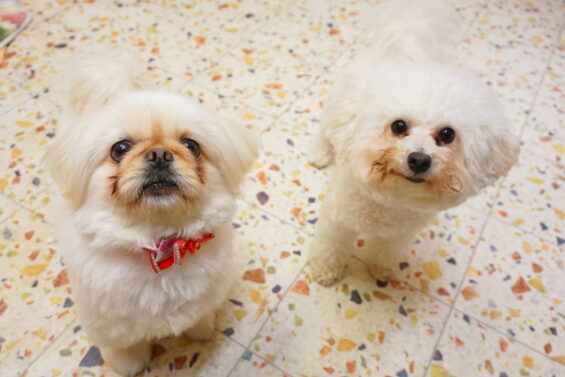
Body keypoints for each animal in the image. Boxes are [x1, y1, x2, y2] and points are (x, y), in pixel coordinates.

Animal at [46, 51, 258, 374]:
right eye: (120, 149)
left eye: (191, 145)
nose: (159, 154)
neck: (160, 243)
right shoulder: (110, 324)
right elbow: (126, 349)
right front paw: (130, 367)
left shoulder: (203, 296)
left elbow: (197, 317)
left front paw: (201, 332)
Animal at [308, 0, 520, 284]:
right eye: (398, 126)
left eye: (447, 134)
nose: (419, 159)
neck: (393, 201)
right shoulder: (339, 218)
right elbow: (330, 245)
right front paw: (326, 270)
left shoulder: (402, 233)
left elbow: (386, 250)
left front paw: (381, 268)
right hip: (337, 103)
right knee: (326, 128)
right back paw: (320, 152)